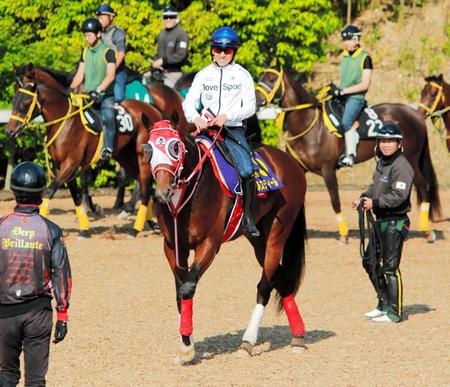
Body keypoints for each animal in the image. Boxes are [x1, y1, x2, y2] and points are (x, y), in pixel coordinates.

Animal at [5, 68, 162, 238]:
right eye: (14, 100)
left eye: (26, 103)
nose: (9, 131)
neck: (66, 122)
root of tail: (153, 110)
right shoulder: (64, 166)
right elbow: (76, 195)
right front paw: (84, 228)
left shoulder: (71, 164)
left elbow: (50, 191)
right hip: (126, 157)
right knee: (143, 185)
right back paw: (151, 223)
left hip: (142, 158)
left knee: (145, 189)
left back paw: (135, 228)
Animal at [142, 117, 308, 364]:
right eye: (149, 148)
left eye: (175, 147)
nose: (163, 192)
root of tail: (291, 163)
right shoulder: (172, 247)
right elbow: (180, 290)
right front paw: (187, 342)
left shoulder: (209, 244)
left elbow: (188, 288)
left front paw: (187, 347)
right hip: (258, 240)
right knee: (280, 279)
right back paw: (298, 336)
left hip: (278, 233)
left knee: (264, 286)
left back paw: (247, 342)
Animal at [255, 68, 442, 241]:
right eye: (260, 77)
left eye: (271, 79)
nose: (256, 99)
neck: (310, 125)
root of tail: (416, 115)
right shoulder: (298, 170)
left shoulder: (328, 170)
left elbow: (335, 200)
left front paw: (343, 234)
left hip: (410, 161)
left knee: (424, 188)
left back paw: (427, 232)